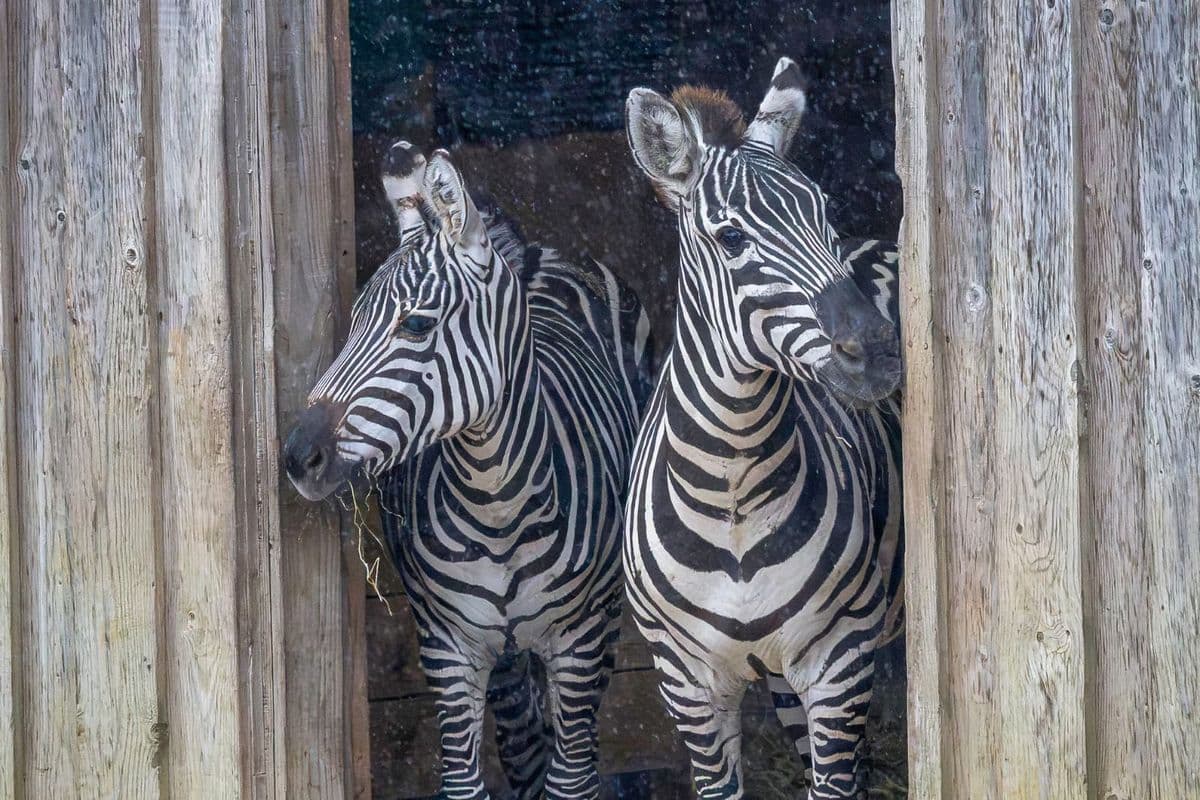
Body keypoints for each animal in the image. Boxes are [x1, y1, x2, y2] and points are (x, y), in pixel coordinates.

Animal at [282, 142, 651, 799]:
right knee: (524, 743)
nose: (299, 457)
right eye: (352, 325)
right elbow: (468, 780)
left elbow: (571, 780)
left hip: (602, 622)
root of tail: (529, 250)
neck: (495, 503)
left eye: (416, 324)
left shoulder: (577, 644)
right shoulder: (447, 648)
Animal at [621, 58, 903, 799]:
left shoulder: (840, 661)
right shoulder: (687, 683)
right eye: (731, 239)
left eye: (824, 215)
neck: (734, 486)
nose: (879, 352)